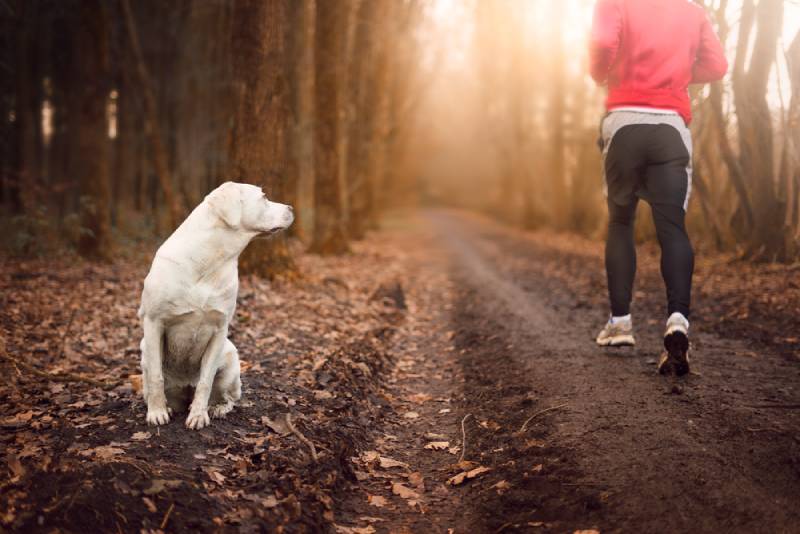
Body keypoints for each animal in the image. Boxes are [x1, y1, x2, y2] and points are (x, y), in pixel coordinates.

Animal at [138, 184, 294, 432]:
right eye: (264, 197)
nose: (291, 208)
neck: (210, 259)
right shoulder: (154, 322)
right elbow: (156, 376)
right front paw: (157, 413)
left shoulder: (220, 330)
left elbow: (206, 380)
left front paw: (199, 416)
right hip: (144, 350)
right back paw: (167, 407)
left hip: (231, 361)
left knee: (229, 397)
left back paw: (217, 408)